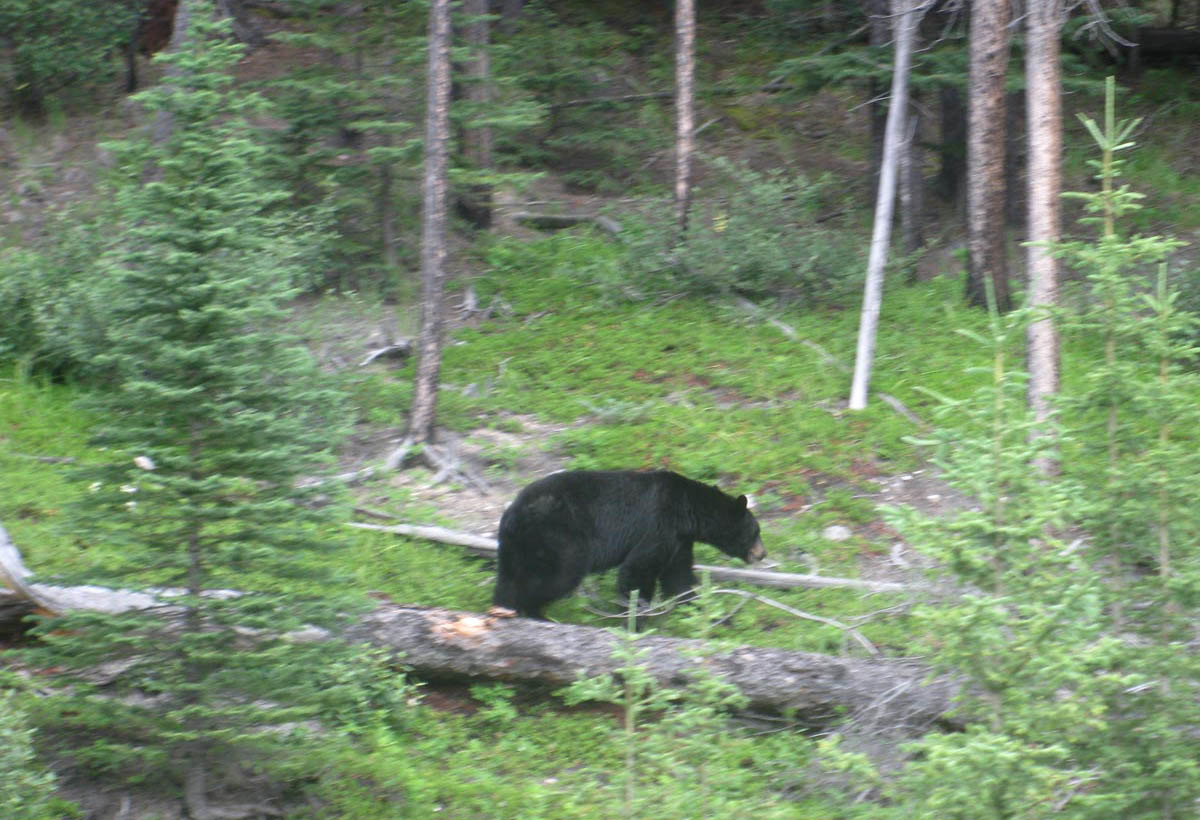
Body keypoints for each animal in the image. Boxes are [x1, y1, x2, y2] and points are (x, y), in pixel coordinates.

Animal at [489, 470, 763, 619]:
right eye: (756, 531)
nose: (762, 554)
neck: (686, 510)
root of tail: (513, 512)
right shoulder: (658, 527)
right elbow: (637, 570)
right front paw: (637, 618)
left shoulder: (679, 541)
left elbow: (679, 579)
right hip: (558, 537)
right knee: (557, 577)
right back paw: (535, 613)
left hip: (517, 547)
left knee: (508, 579)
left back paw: (505, 609)